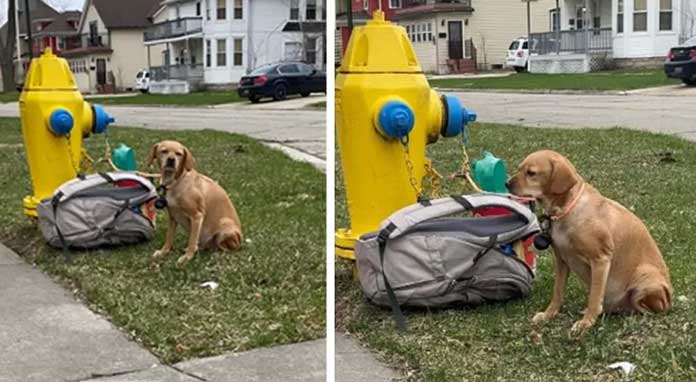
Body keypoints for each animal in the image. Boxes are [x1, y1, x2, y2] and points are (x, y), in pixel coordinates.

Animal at [148, 139, 243, 268]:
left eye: (179, 154)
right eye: (164, 151)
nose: (171, 160)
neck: (176, 182)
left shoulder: (197, 216)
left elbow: (192, 241)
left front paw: (187, 258)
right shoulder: (172, 217)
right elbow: (169, 238)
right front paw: (163, 252)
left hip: (225, 225)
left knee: (223, 247)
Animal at [508, 150, 672, 334]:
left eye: (531, 173)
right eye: (520, 168)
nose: (507, 184)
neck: (565, 210)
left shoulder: (600, 259)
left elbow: (594, 298)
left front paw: (586, 323)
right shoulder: (561, 260)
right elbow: (558, 292)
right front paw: (548, 314)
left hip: (645, 277)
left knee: (649, 307)